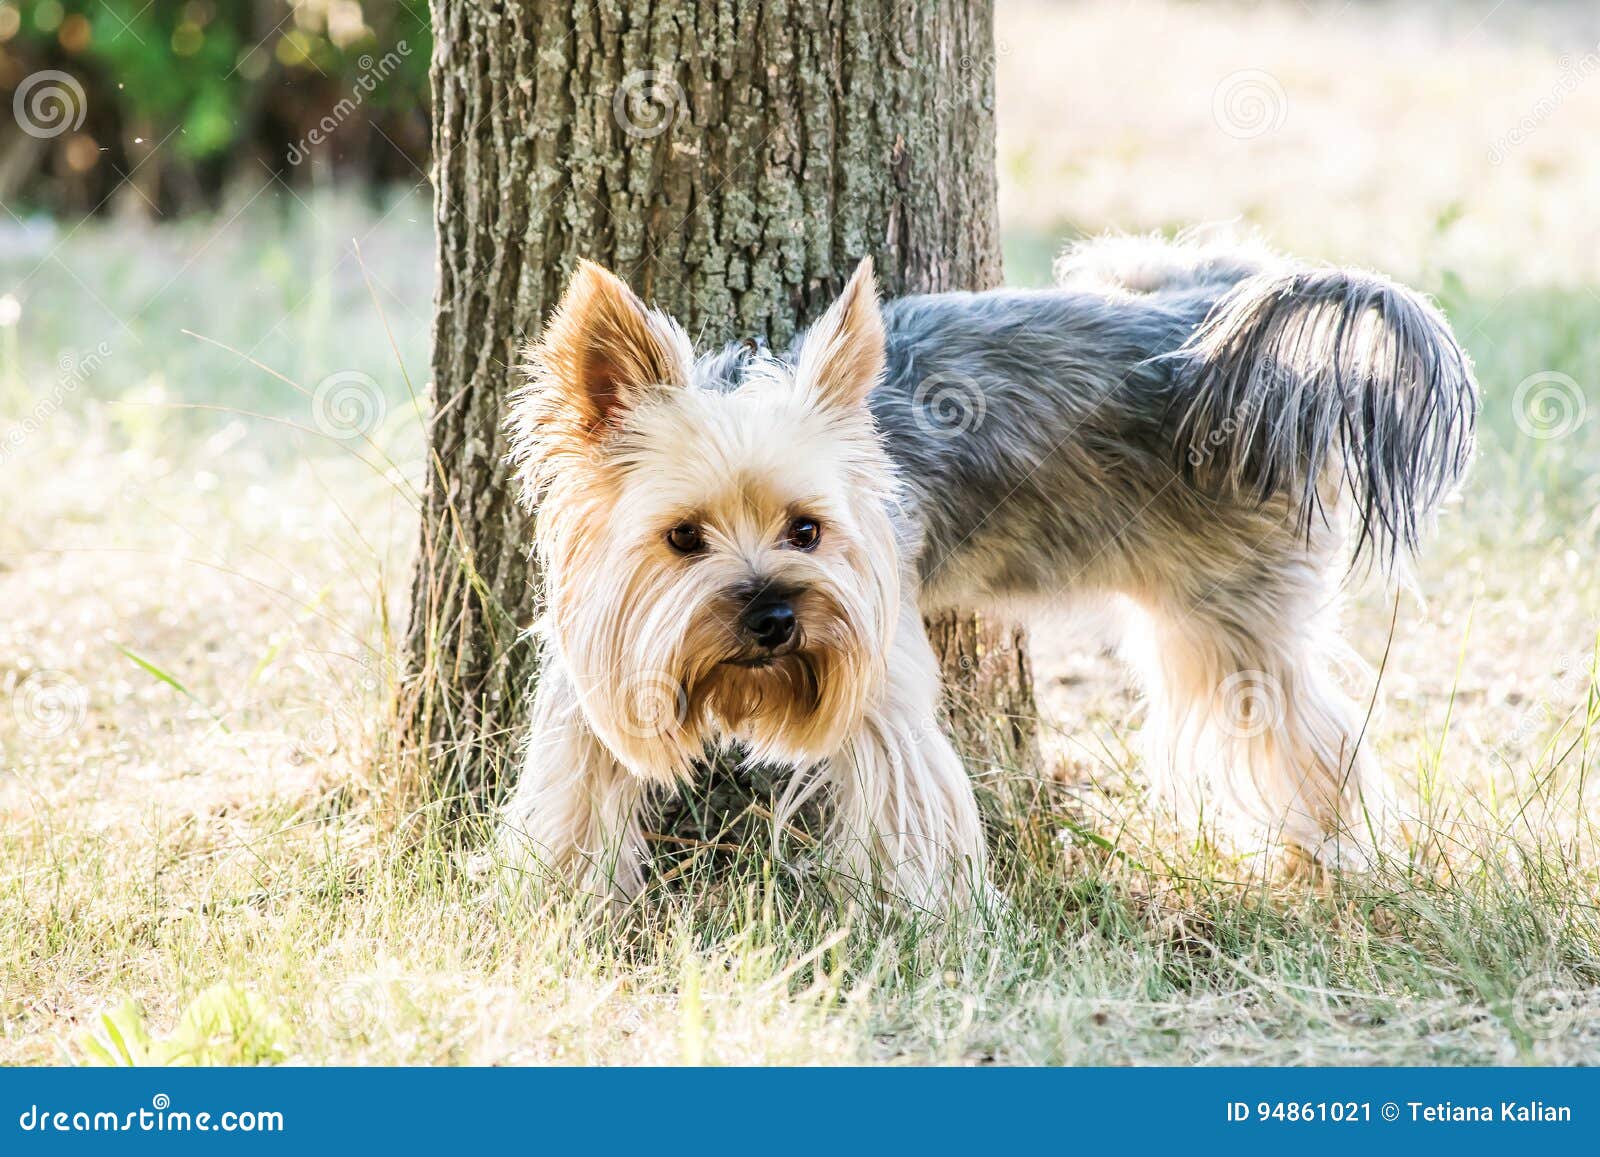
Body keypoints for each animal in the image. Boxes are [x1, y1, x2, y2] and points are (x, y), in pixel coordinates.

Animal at [499, 233, 1472, 902]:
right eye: (682, 538)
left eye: (807, 530)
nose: (774, 618)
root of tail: (1247, 336)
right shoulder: (598, 666)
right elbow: (573, 792)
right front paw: (559, 908)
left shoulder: (880, 673)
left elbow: (912, 803)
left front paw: (931, 930)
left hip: (1227, 609)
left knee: (1304, 732)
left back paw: (1333, 864)